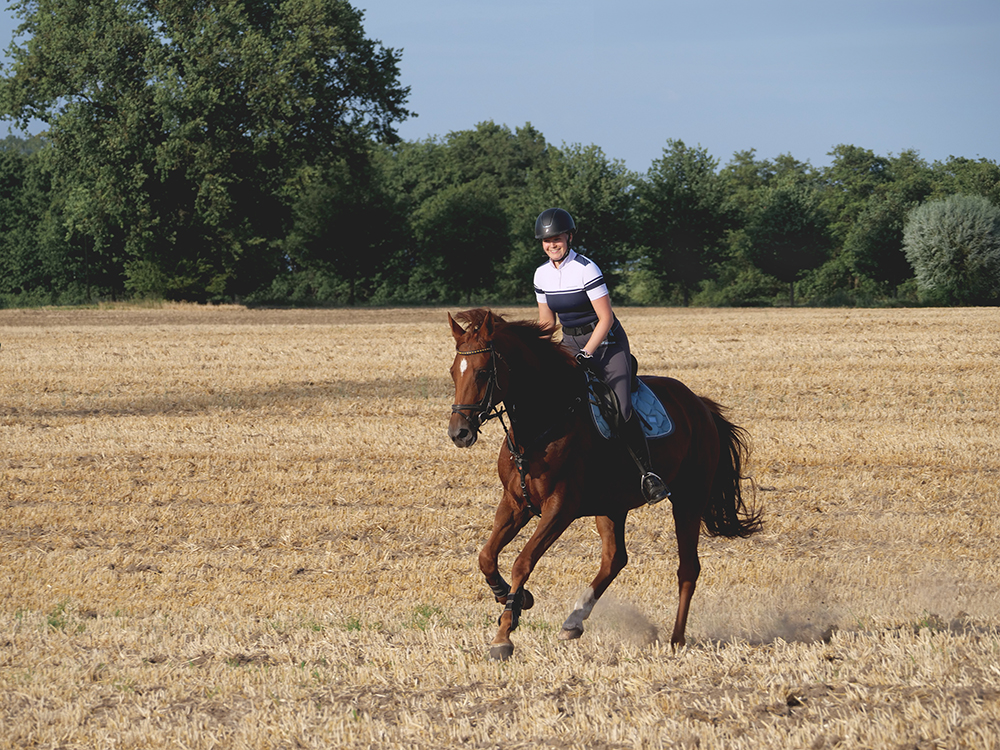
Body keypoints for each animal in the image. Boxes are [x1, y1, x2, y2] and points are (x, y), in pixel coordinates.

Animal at [447, 308, 761, 661]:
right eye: (453, 372)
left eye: (483, 372)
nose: (459, 433)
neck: (539, 426)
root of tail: (700, 405)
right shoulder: (515, 503)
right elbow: (486, 556)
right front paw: (513, 599)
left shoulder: (560, 508)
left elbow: (522, 561)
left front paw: (504, 634)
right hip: (612, 505)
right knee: (615, 559)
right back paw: (574, 620)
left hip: (688, 498)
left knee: (687, 568)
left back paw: (676, 640)